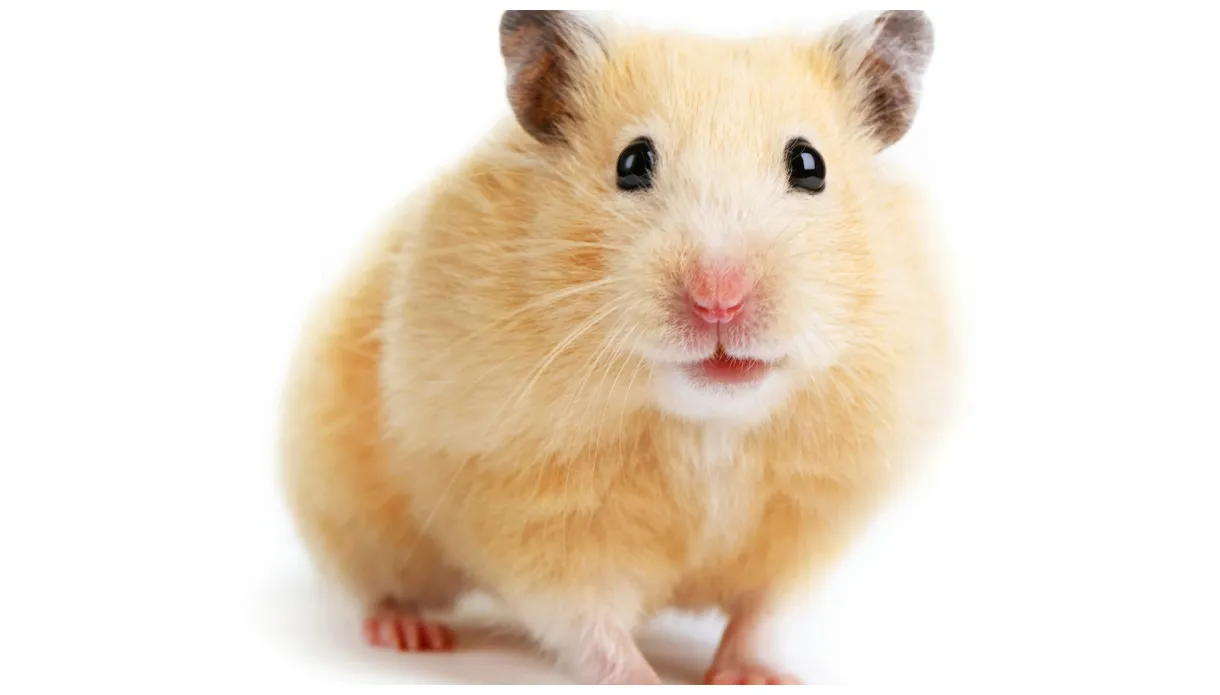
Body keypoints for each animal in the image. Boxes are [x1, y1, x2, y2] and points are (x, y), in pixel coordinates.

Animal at [278, 9, 951, 686]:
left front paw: (759, 678)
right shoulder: (536, 519)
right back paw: (408, 633)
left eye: (810, 165)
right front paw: (646, 681)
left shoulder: (808, 525)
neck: (708, 424)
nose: (719, 298)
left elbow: (764, 614)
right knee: (381, 587)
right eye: (632, 162)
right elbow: (588, 623)